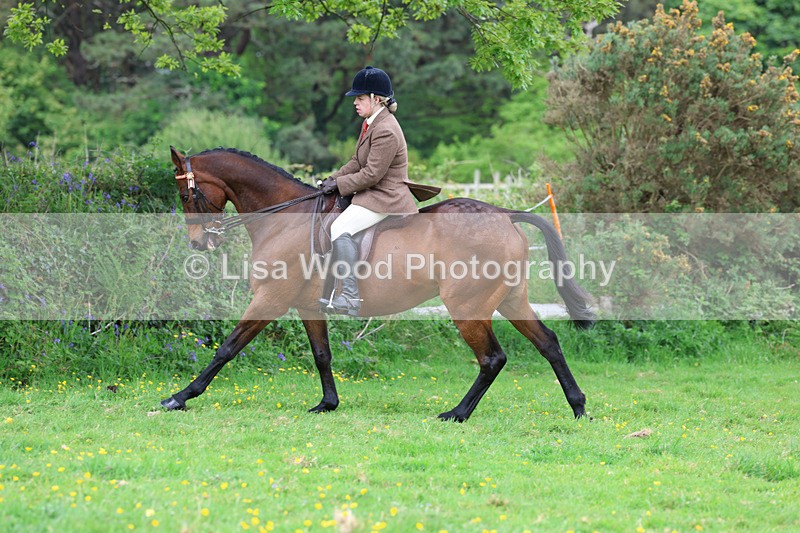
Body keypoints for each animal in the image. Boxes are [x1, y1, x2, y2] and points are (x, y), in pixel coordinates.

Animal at [160, 146, 595, 422]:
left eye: (185, 194)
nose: (198, 242)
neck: (283, 219)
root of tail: (504, 215)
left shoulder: (270, 299)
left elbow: (227, 348)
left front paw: (179, 397)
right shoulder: (307, 305)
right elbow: (322, 355)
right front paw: (327, 404)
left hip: (467, 306)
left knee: (492, 359)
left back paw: (457, 414)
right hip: (510, 300)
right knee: (548, 343)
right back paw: (578, 408)